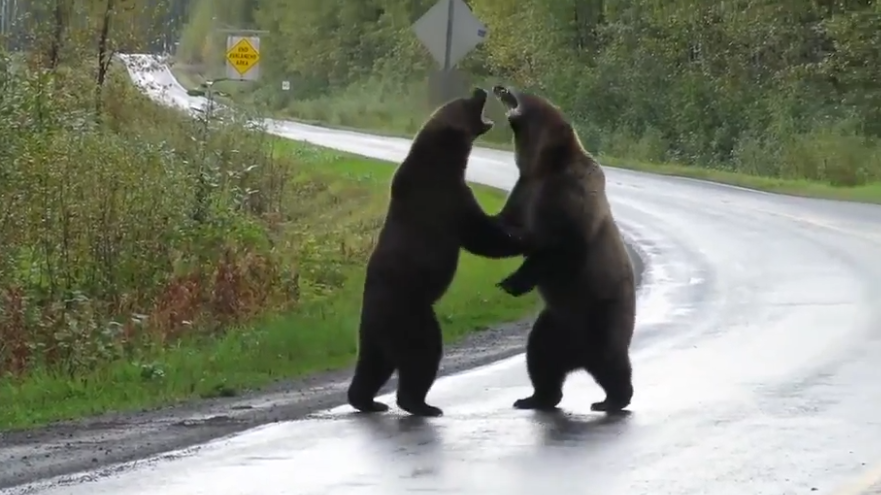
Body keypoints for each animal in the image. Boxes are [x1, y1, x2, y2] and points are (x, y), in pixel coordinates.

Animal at [346, 88, 524, 418]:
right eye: (466, 102)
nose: (480, 89)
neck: (445, 158)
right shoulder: (446, 198)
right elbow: (481, 234)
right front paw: (521, 236)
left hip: (373, 334)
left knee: (372, 366)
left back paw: (367, 401)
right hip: (412, 315)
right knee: (423, 354)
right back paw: (421, 404)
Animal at [488, 84, 632, 414]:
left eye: (527, 93)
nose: (500, 86)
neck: (543, 165)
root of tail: (579, 358)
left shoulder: (570, 195)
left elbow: (562, 246)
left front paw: (513, 281)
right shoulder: (525, 192)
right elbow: (509, 227)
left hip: (603, 313)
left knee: (612, 360)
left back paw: (612, 399)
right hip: (554, 323)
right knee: (540, 357)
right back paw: (535, 397)